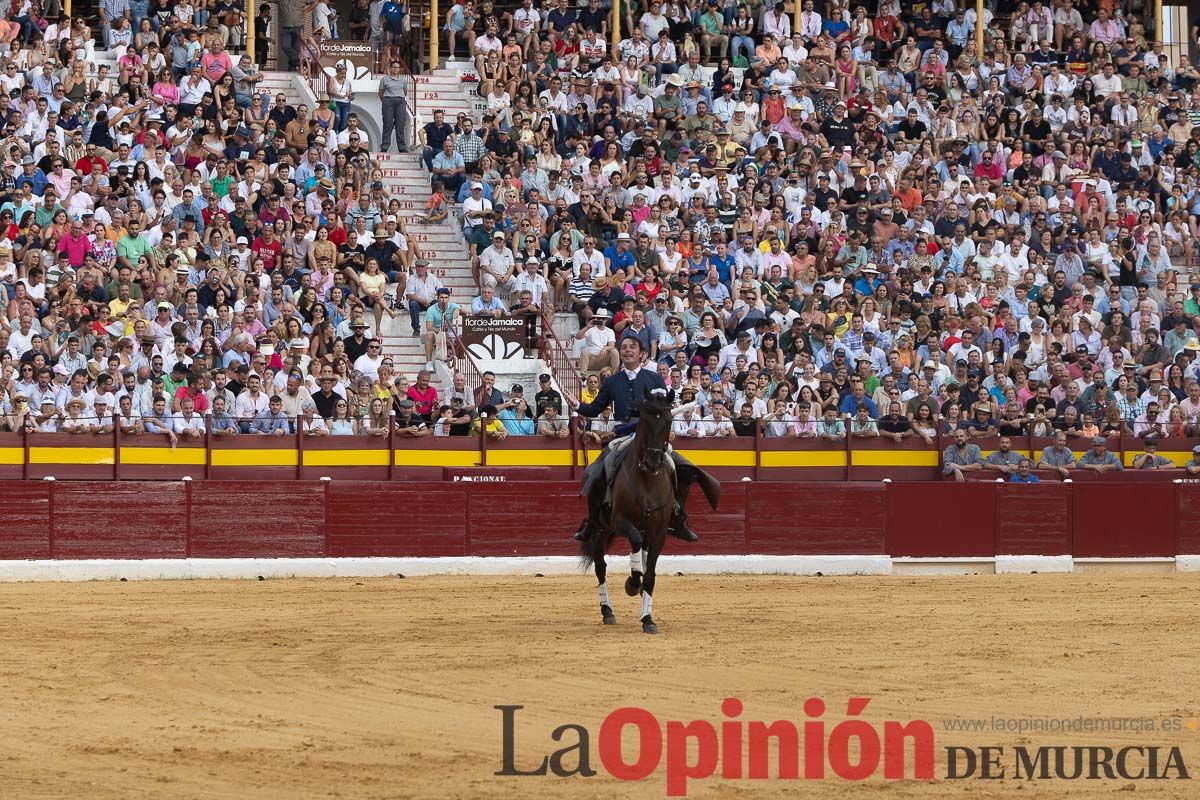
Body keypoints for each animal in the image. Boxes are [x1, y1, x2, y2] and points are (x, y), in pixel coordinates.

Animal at [578, 391, 696, 633]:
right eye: (645, 420)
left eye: (668, 421)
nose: (652, 461)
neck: (647, 479)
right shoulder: (620, 521)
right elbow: (634, 545)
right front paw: (632, 584)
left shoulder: (658, 532)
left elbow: (650, 574)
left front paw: (647, 619)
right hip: (601, 529)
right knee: (600, 566)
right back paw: (607, 611)